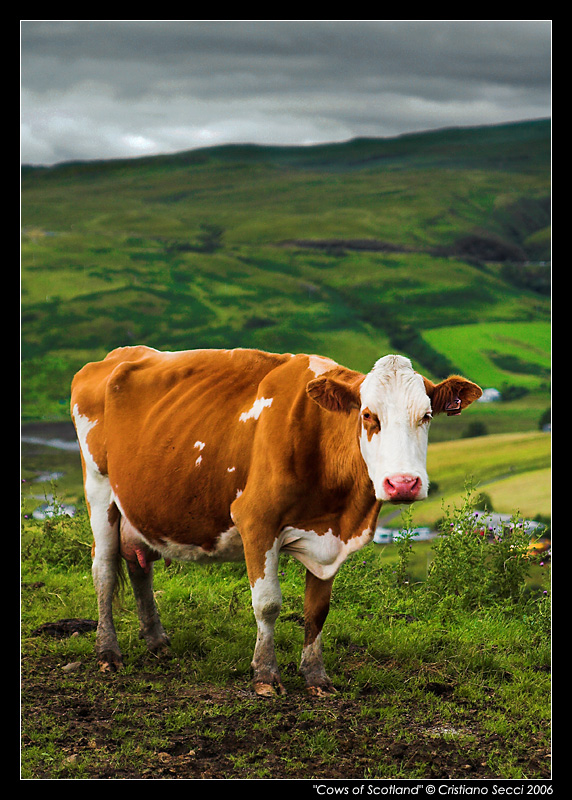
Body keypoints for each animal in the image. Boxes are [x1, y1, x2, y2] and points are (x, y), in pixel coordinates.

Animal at [71, 346, 482, 697]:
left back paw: (156, 642)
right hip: (100, 488)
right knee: (104, 569)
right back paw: (108, 652)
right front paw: (266, 675)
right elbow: (267, 603)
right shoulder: (257, 520)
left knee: (139, 566)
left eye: (426, 416)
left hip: (139, 505)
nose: (403, 483)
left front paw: (316, 677)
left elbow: (317, 610)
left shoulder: (328, 537)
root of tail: (114, 357)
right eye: (368, 415)